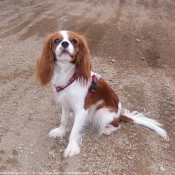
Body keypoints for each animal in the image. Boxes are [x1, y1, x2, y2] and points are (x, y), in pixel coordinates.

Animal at [35, 30, 168, 158]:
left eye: (74, 41)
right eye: (56, 40)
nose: (64, 43)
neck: (67, 74)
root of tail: (119, 114)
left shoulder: (81, 110)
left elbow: (74, 131)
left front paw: (71, 148)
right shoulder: (65, 104)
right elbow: (63, 120)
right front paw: (60, 131)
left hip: (102, 113)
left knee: (117, 125)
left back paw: (108, 129)